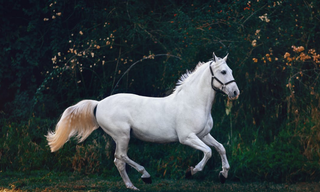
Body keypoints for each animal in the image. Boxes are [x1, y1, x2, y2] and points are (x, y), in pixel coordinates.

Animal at [45, 52, 240, 190]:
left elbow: (220, 148)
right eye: (223, 71)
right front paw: (191, 172)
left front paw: (223, 175)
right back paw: (145, 176)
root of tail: (98, 104)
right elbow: (208, 152)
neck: (192, 102)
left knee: (118, 160)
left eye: (231, 71)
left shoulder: (204, 135)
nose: (235, 92)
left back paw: (132, 186)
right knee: (121, 157)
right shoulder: (187, 137)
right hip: (123, 135)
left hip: (121, 137)